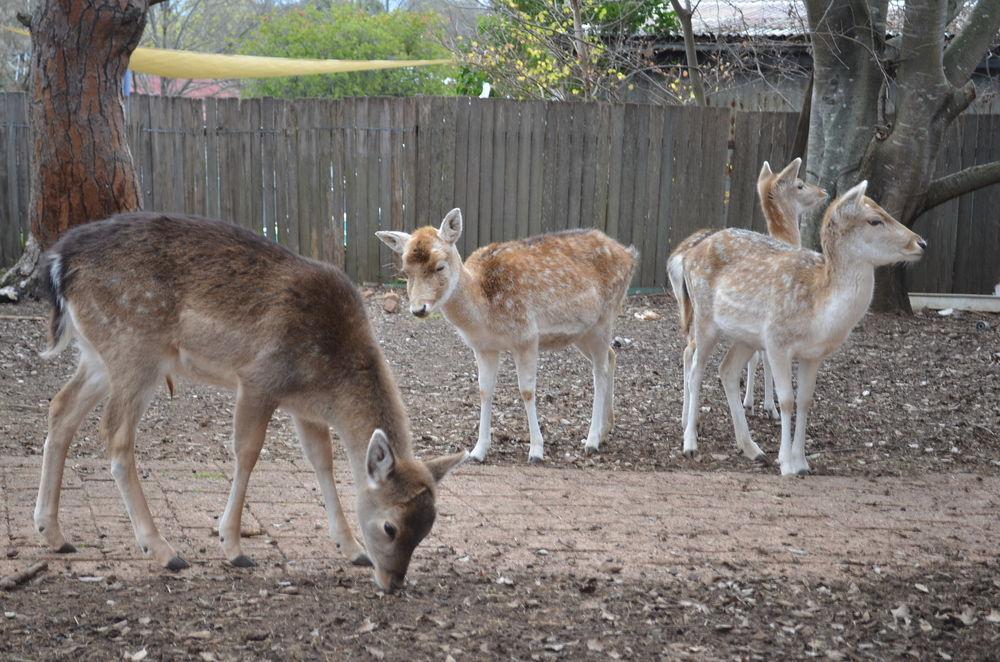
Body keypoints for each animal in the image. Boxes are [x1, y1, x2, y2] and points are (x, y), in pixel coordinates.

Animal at [34, 213, 464, 592]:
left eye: (427, 529)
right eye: (391, 526)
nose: (393, 583)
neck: (329, 378)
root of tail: (59, 262)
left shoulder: (305, 408)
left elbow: (321, 461)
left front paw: (352, 548)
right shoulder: (259, 380)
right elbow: (247, 454)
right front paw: (234, 547)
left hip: (97, 354)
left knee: (60, 407)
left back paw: (53, 533)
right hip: (135, 349)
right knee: (116, 435)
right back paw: (163, 550)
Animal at [378, 210, 636, 464]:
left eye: (440, 266)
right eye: (405, 271)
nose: (418, 309)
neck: (484, 311)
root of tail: (629, 254)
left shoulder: (527, 337)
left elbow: (527, 391)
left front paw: (536, 451)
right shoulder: (483, 347)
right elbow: (484, 390)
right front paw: (477, 451)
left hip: (605, 318)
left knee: (599, 371)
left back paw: (591, 440)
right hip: (583, 332)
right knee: (611, 356)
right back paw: (604, 431)